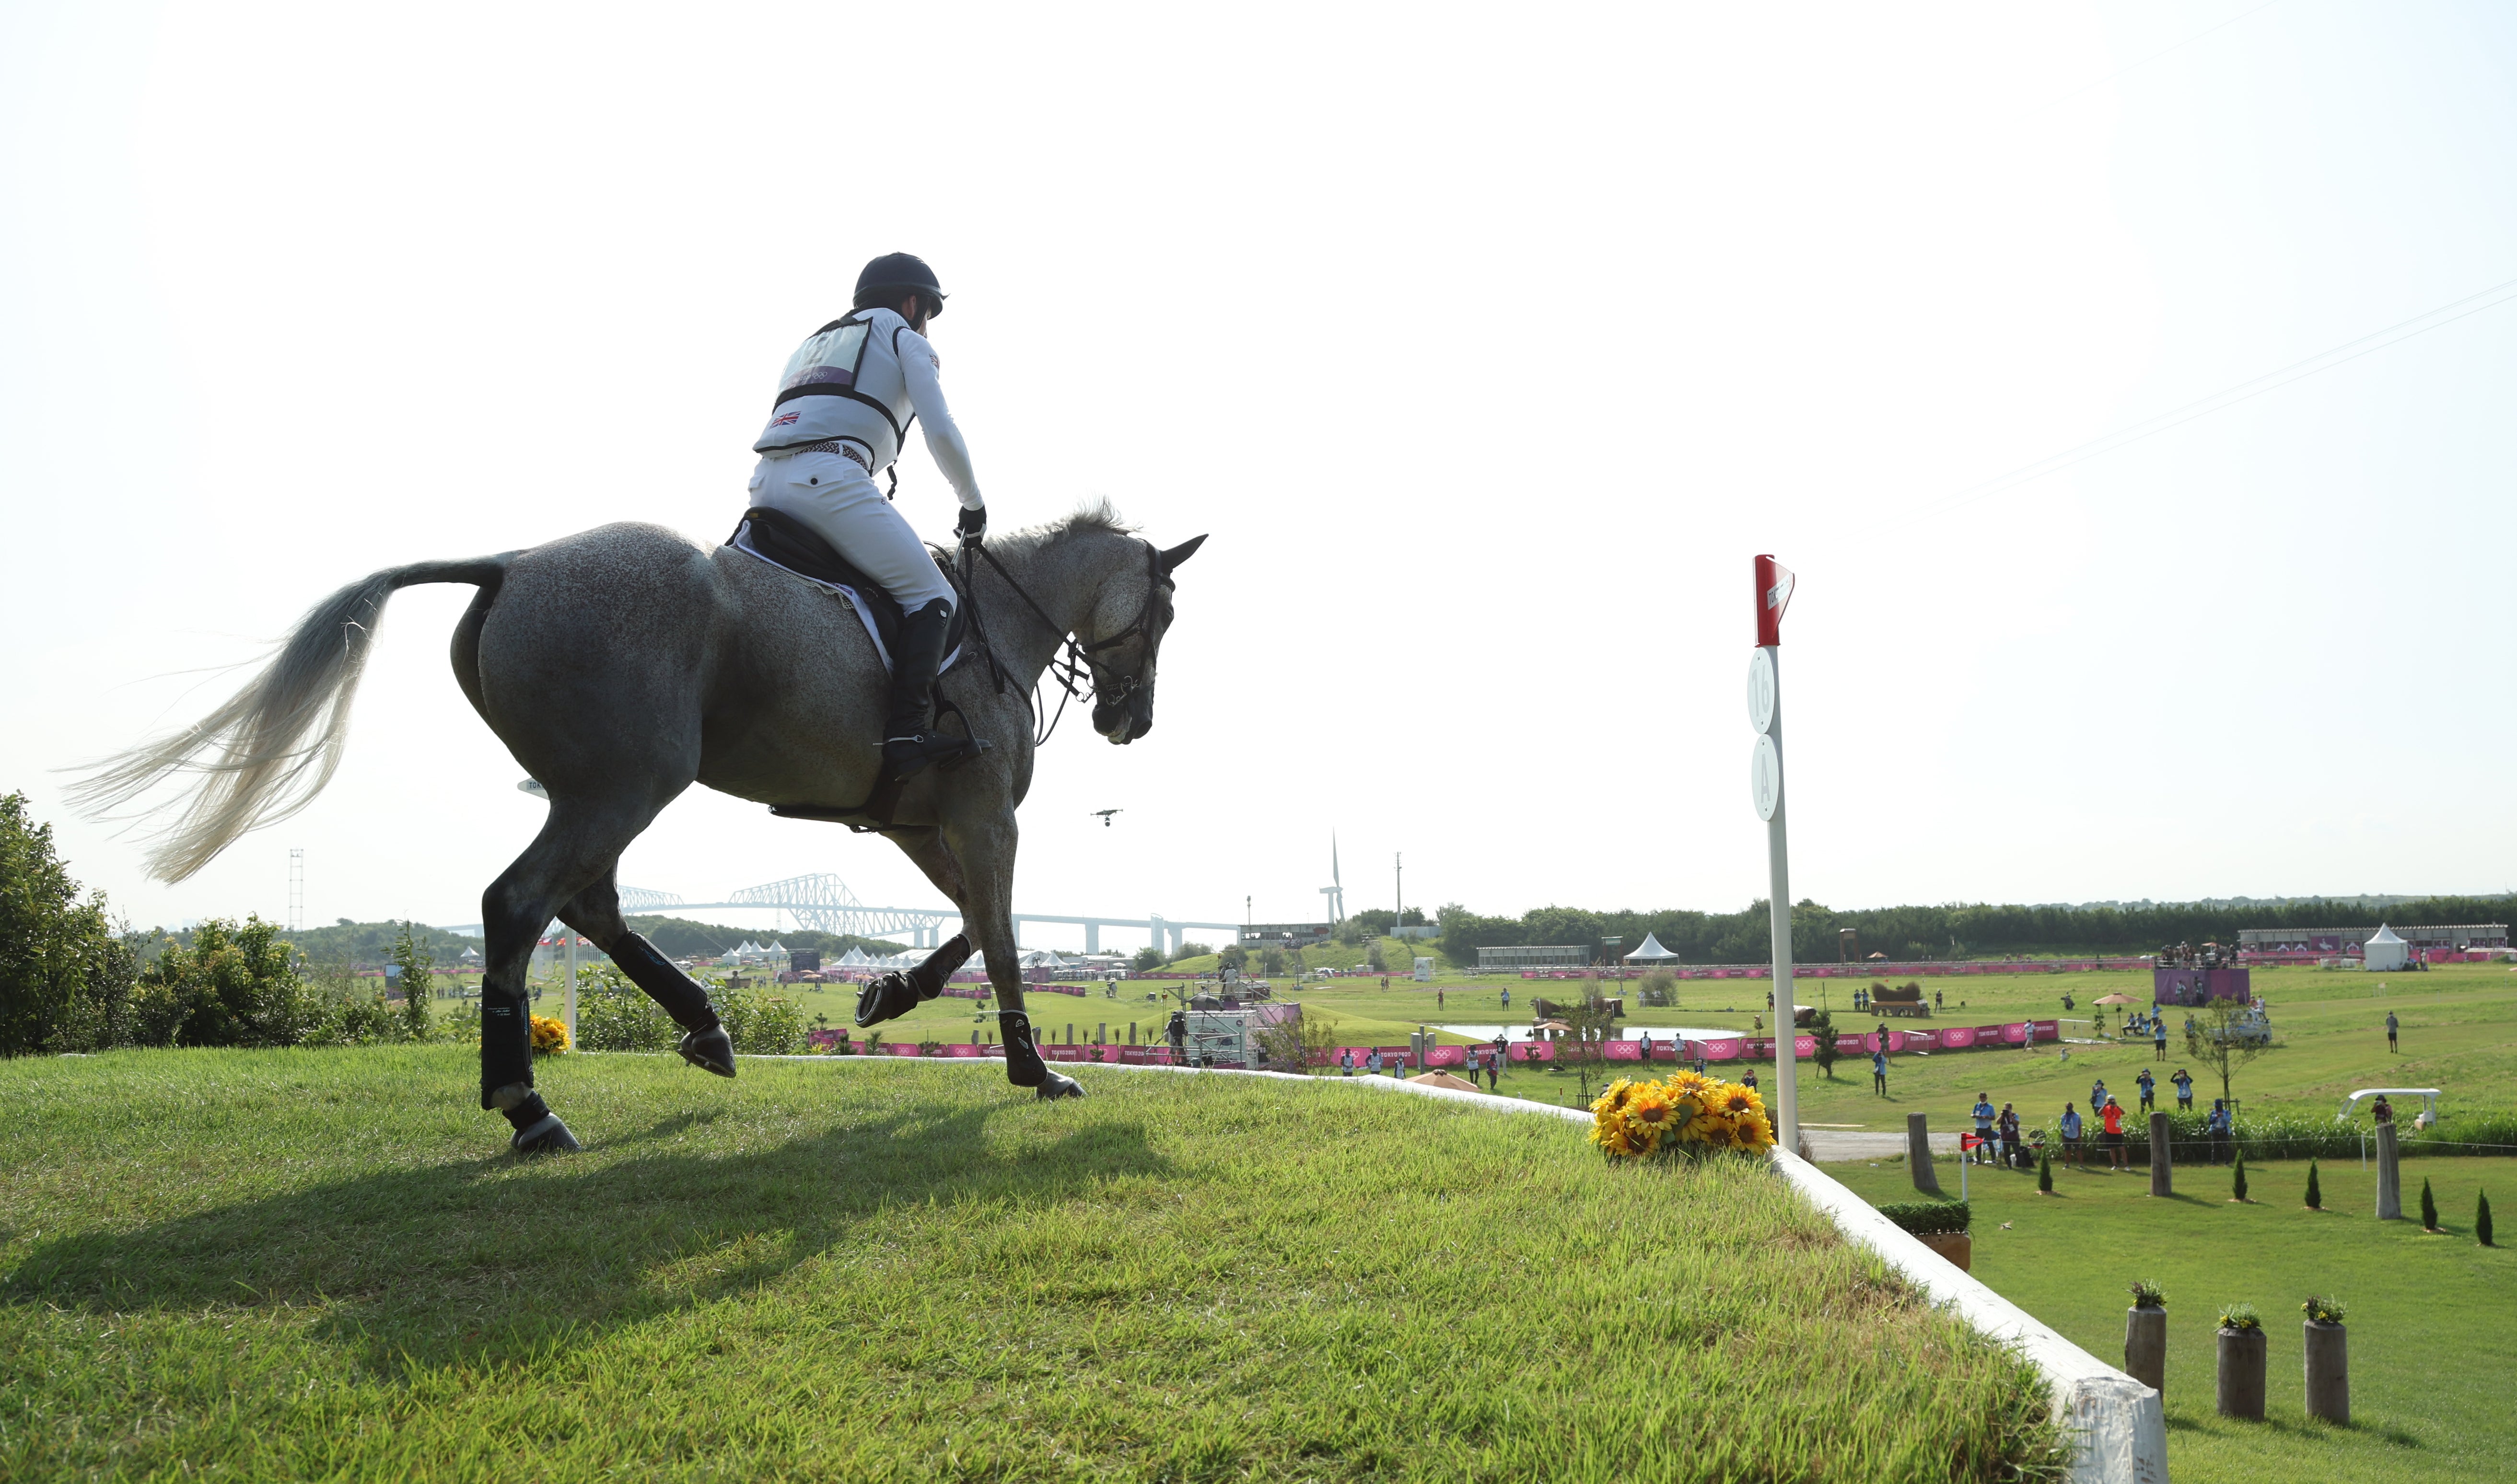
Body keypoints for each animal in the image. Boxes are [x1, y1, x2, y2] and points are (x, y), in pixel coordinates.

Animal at [73, 508, 1203, 1152]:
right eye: (1163, 613)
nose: (1132, 721)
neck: (996, 627)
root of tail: (512, 564)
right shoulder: (979, 812)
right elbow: (1004, 936)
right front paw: (1033, 1068)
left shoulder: (917, 821)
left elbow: (972, 925)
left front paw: (889, 992)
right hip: (629, 782)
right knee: (521, 903)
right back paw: (527, 1107)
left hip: (596, 787)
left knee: (589, 902)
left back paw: (703, 1024)